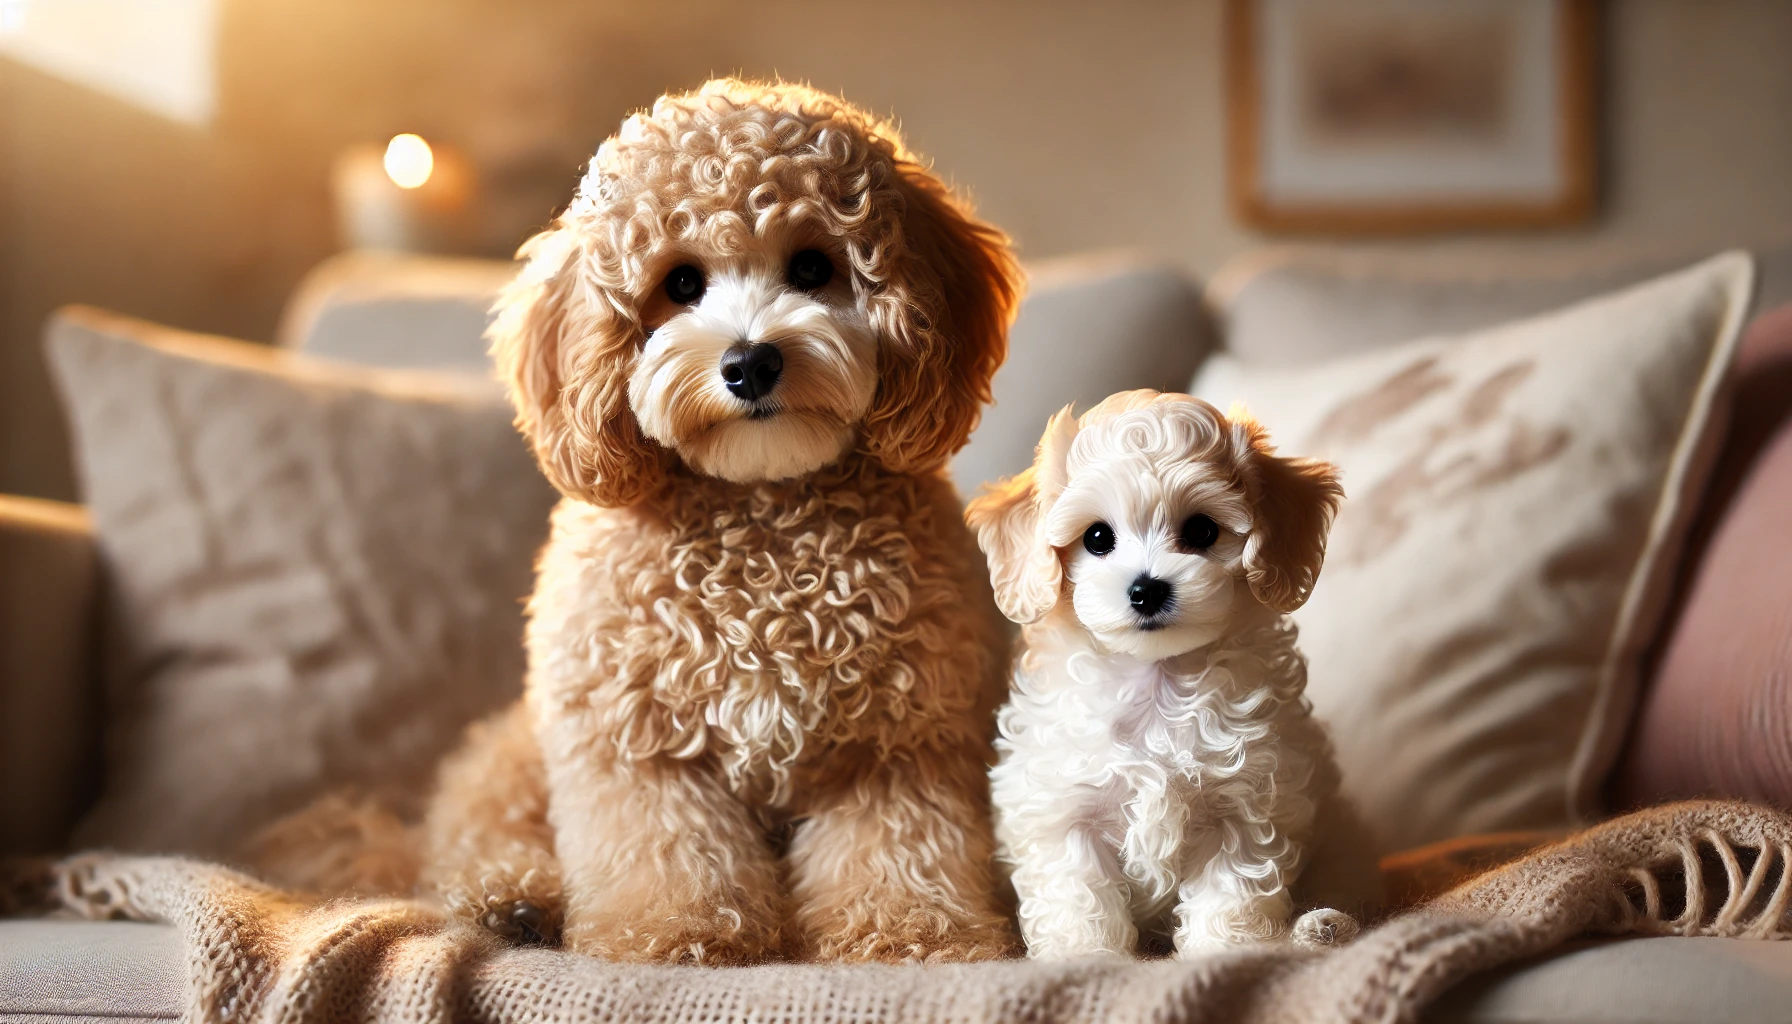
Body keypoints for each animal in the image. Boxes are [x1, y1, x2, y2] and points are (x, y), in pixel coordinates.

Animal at [412, 78, 1017, 961]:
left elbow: (898, 856)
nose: (750, 362)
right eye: (681, 283)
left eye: (813, 267)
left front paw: (912, 939)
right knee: (473, 835)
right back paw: (512, 896)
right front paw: (676, 935)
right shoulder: (638, 750)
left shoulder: (897, 748)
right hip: (516, 756)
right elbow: (668, 856)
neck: (761, 513)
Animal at [974, 389, 1376, 961]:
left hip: (1342, 844)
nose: (1147, 589)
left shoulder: (1246, 801)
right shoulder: (1062, 808)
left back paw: (1320, 927)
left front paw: (1227, 949)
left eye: (1202, 530)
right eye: (1097, 537)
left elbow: (1231, 886)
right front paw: (1087, 955)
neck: (1155, 677)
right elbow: (1079, 890)